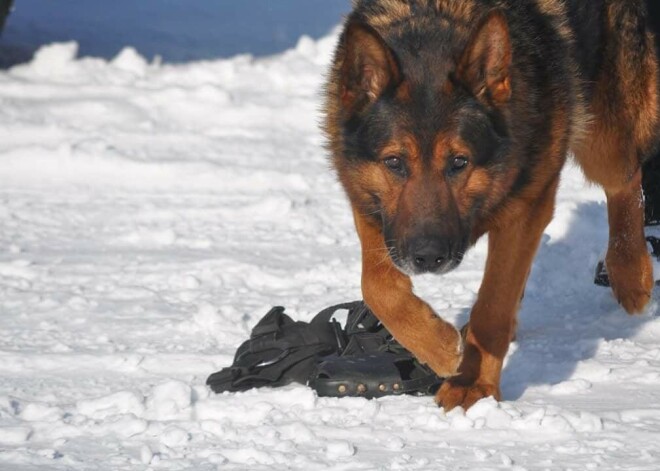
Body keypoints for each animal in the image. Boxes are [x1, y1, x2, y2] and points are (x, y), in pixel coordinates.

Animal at [322, 0, 656, 412]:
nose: (427, 257)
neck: (433, 21)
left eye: (459, 162)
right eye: (394, 162)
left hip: (602, 133)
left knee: (625, 179)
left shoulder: (527, 208)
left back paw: (630, 271)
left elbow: (493, 306)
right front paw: (437, 344)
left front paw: (473, 383)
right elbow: (376, 286)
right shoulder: (371, 206)